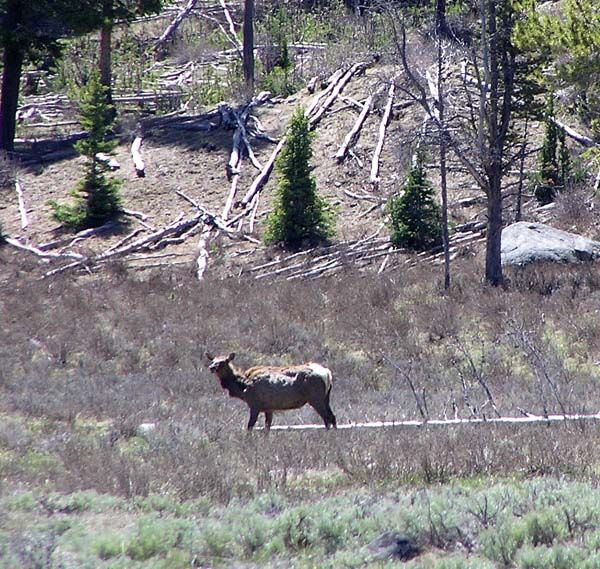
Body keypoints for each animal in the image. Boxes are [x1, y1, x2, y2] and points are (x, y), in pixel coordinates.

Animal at [205, 350, 338, 430]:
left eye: (223, 361)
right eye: (213, 360)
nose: (211, 367)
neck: (242, 387)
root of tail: (327, 374)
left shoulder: (255, 405)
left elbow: (250, 426)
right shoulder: (269, 408)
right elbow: (267, 428)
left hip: (315, 398)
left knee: (327, 418)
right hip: (325, 398)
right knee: (333, 417)